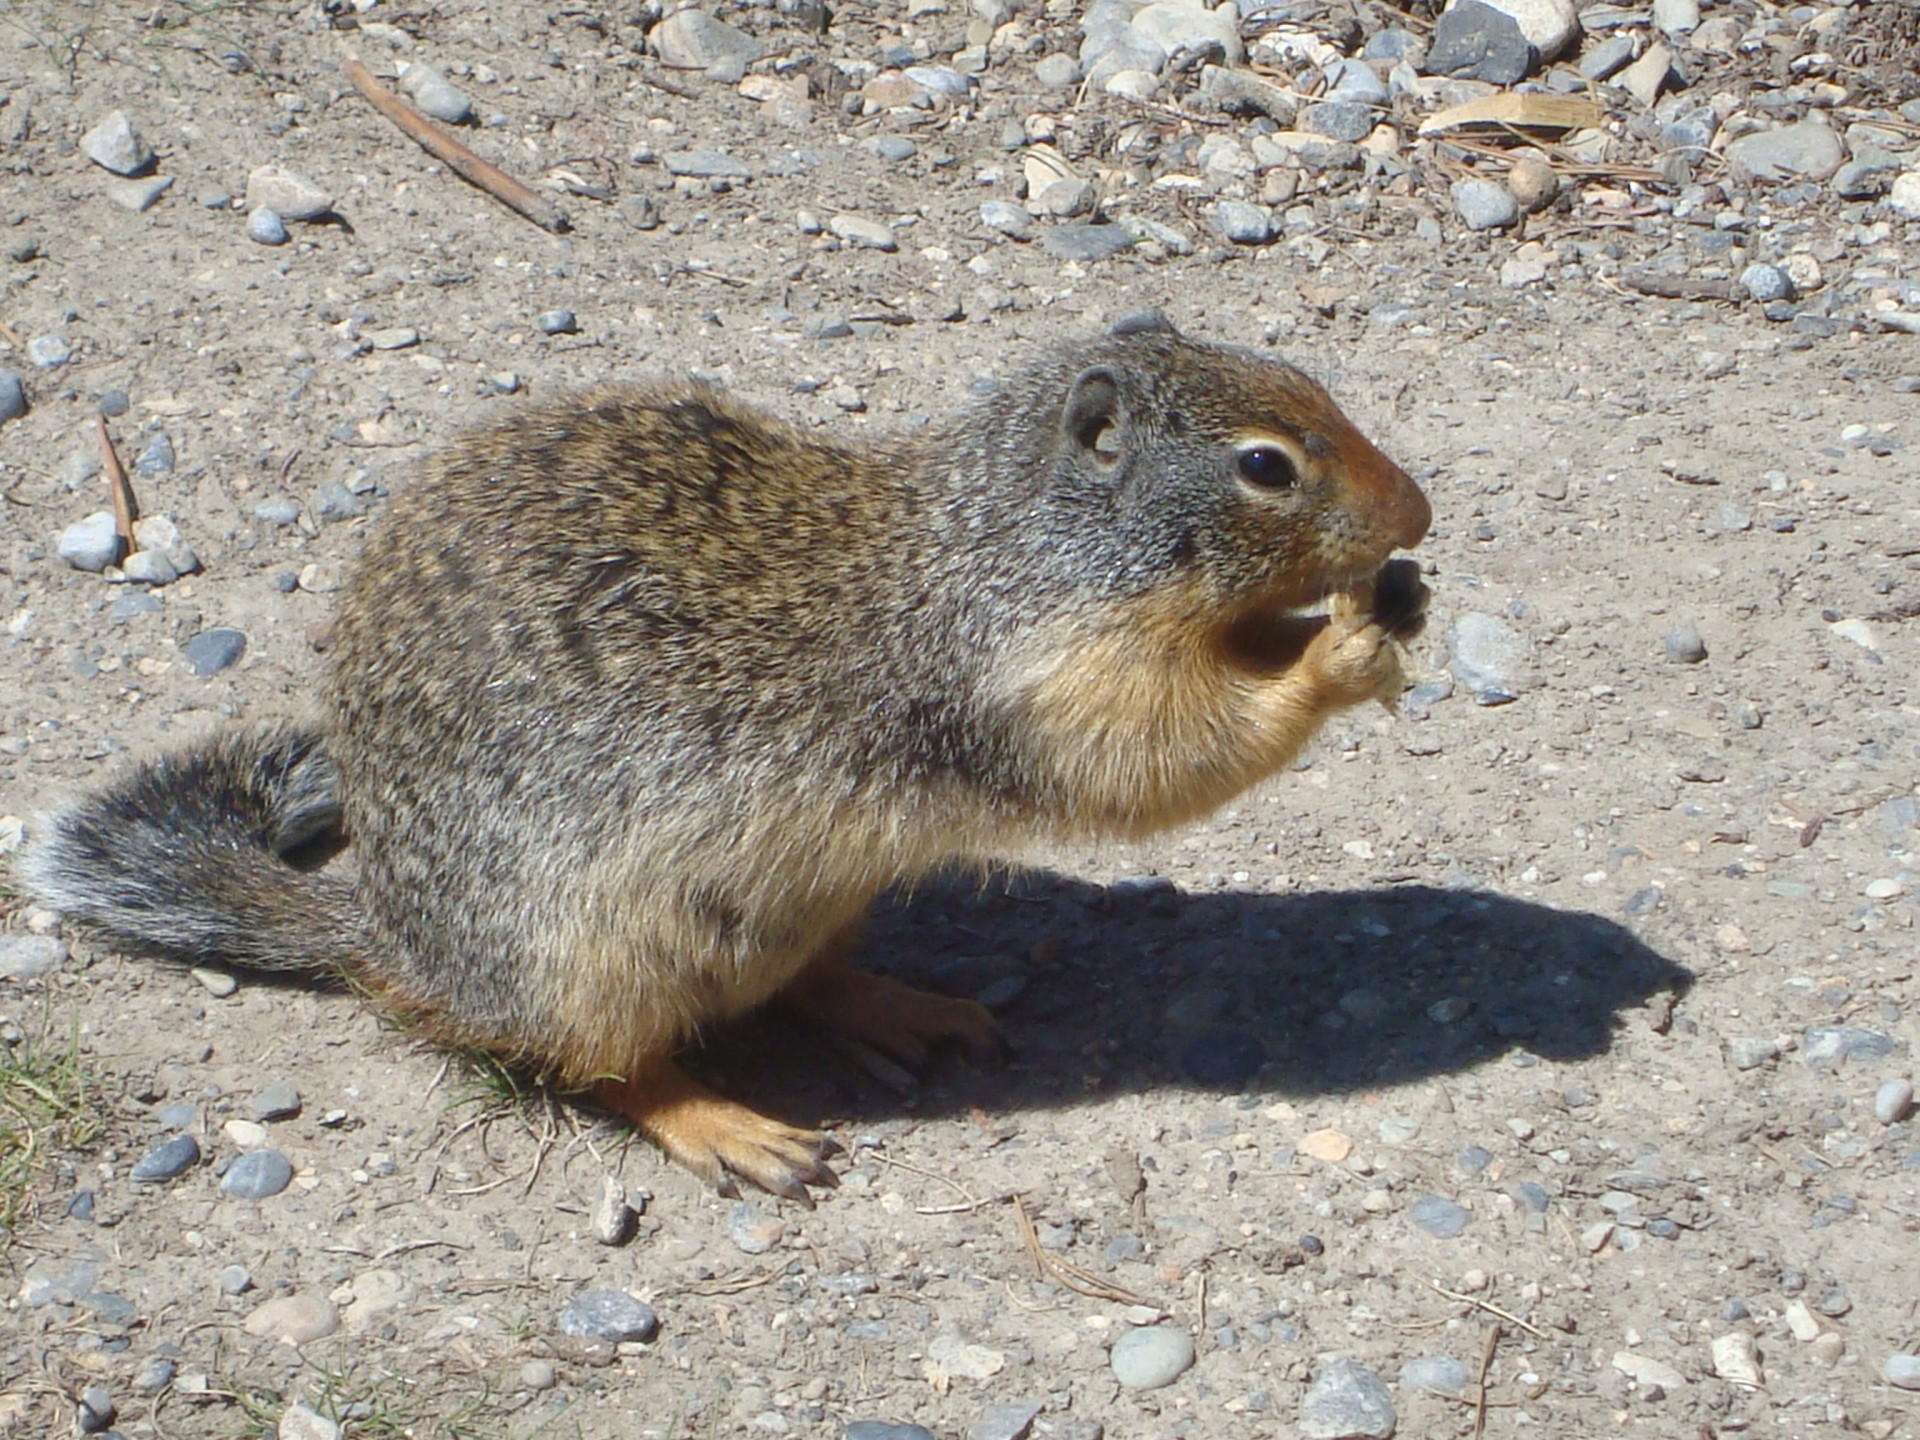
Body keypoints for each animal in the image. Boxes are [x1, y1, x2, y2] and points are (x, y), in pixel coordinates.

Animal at [15, 318, 1428, 1205]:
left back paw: (907, 1006)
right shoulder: (1046, 682)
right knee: (611, 1069)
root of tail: (395, 944)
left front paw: (1379, 612)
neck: (1024, 545)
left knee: (794, 983)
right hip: (587, 955)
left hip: (805, 897)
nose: (1419, 512)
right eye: (1265, 465)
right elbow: (1167, 754)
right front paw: (1341, 653)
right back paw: (734, 1131)